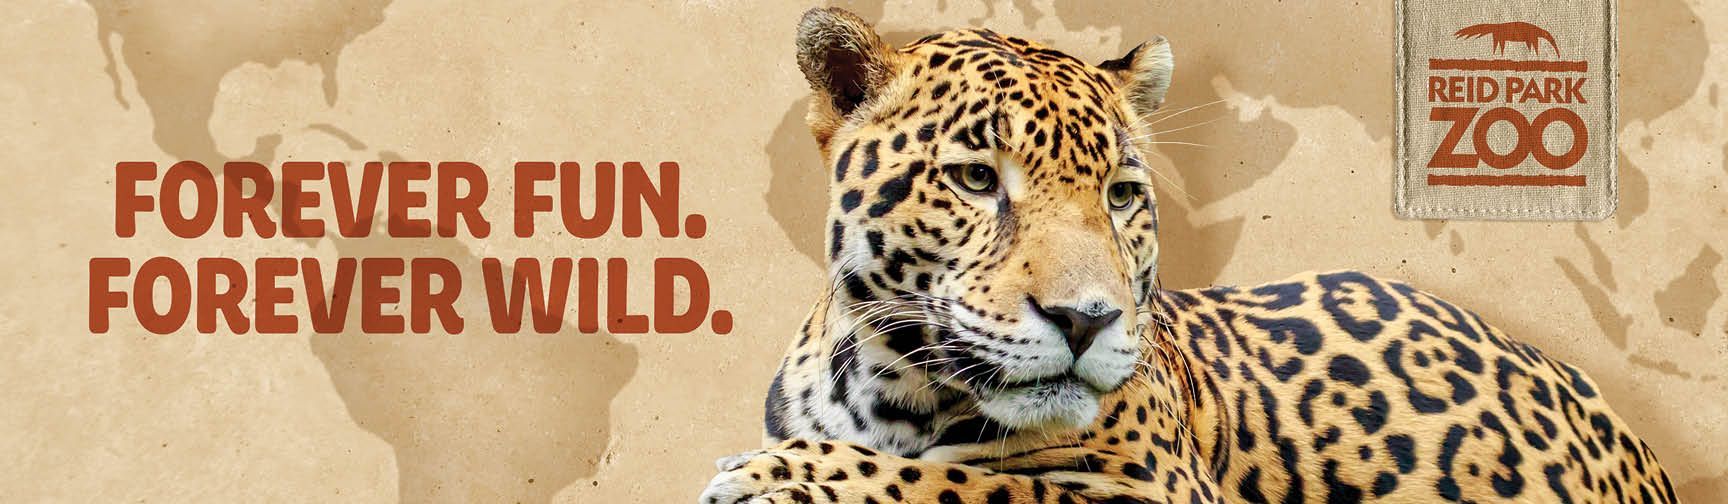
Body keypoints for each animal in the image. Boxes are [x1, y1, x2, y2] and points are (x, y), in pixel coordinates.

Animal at [700, 7, 1678, 503]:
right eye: (977, 178)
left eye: (1120, 195)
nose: (1086, 321)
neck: (890, 392)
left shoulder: (1155, 490)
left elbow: (976, 488)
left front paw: (777, 475)